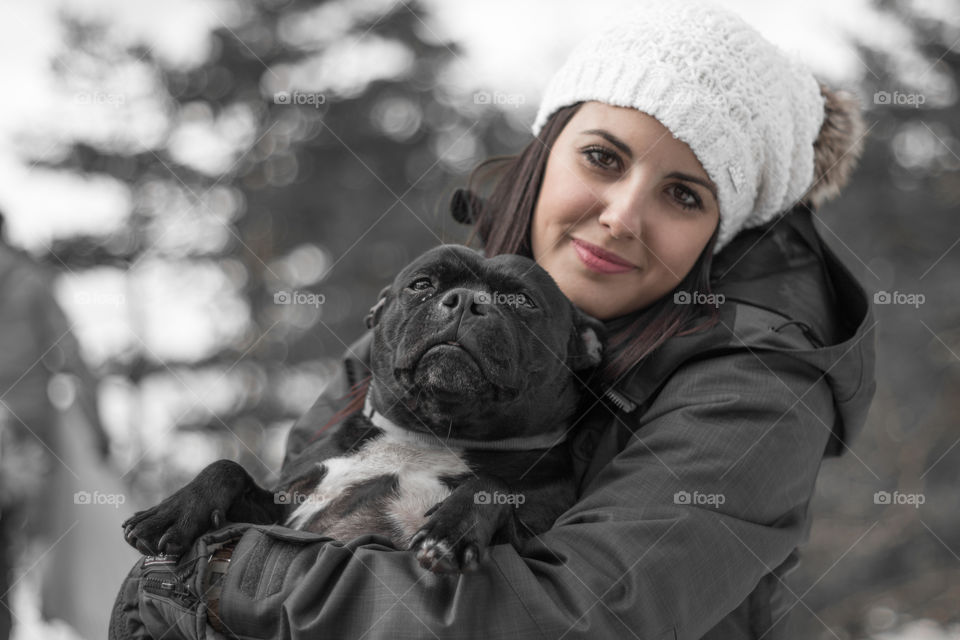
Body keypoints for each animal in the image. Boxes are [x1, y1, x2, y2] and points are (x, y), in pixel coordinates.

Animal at [120, 245, 600, 576]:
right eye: (422, 284)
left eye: (524, 301)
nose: (466, 300)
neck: (431, 434)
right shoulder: (282, 513)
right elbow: (227, 469)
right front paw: (174, 512)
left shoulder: (530, 539)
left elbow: (492, 484)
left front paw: (451, 530)